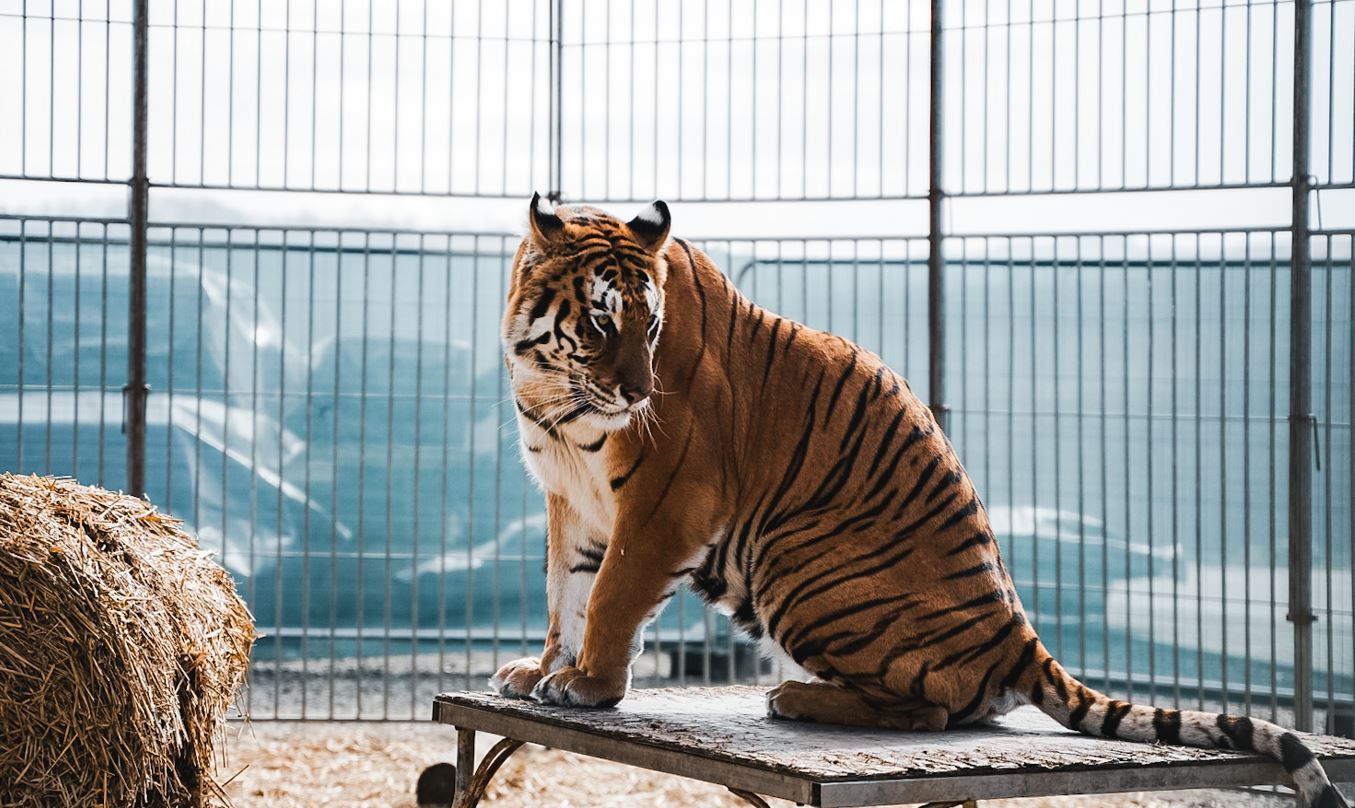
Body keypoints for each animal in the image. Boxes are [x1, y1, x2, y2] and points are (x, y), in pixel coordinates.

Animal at [490, 193, 1350, 808]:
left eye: (650, 327)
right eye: (602, 322)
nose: (639, 393)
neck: (556, 391)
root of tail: (1017, 636)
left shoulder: (666, 501)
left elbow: (609, 596)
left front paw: (590, 686)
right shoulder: (572, 501)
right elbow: (565, 595)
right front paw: (542, 671)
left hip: (796, 562)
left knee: (931, 710)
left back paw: (794, 697)